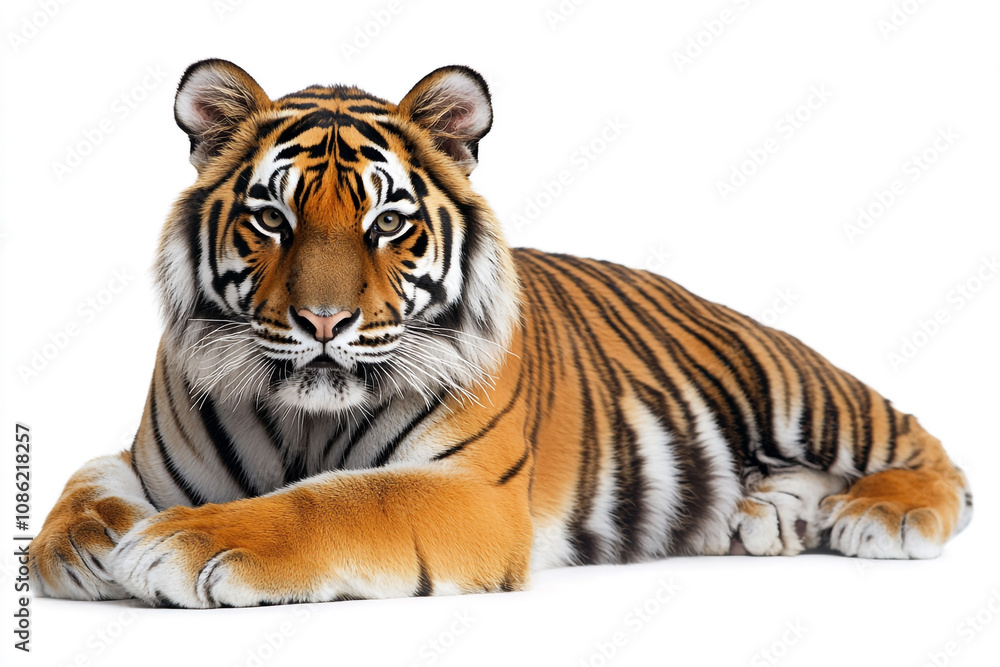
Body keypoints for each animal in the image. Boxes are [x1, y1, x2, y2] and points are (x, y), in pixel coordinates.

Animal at [30, 59, 973, 608]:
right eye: (271, 218)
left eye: (386, 222)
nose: (325, 321)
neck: (305, 416)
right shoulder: (151, 456)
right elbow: (88, 474)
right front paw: (78, 543)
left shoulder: (472, 492)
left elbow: (334, 497)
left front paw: (185, 541)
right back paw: (762, 510)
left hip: (794, 385)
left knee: (925, 446)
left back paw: (879, 514)